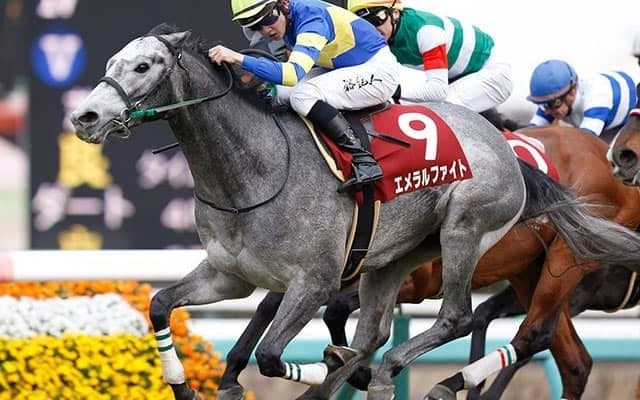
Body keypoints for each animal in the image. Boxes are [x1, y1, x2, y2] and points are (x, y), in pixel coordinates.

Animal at [217, 126, 640, 400]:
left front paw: (351, 371)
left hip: (566, 262)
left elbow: (338, 313)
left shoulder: (407, 280)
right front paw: (233, 373)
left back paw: (453, 384)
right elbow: (275, 303)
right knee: (572, 360)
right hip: (532, 270)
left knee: (532, 334)